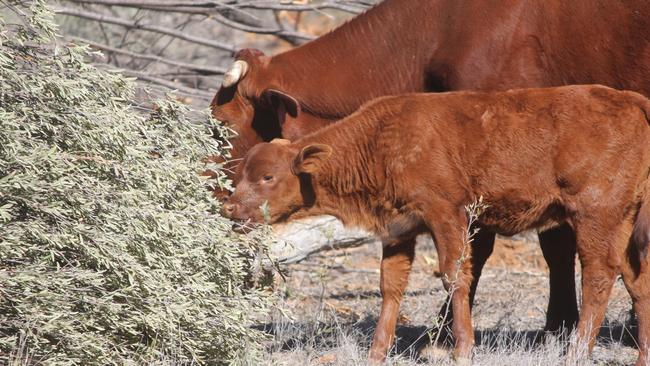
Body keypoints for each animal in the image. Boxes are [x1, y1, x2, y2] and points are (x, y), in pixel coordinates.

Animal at [221, 85, 648, 364]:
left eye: (268, 177)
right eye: (244, 172)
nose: (231, 208)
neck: (382, 139)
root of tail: (633, 101)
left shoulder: (447, 215)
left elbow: (455, 275)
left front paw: (462, 350)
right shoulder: (399, 230)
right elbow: (391, 285)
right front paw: (376, 352)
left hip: (594, 215)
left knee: (599, 274)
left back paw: (575, 353)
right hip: (625, 219)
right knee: (635, 276)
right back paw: (641, 354)